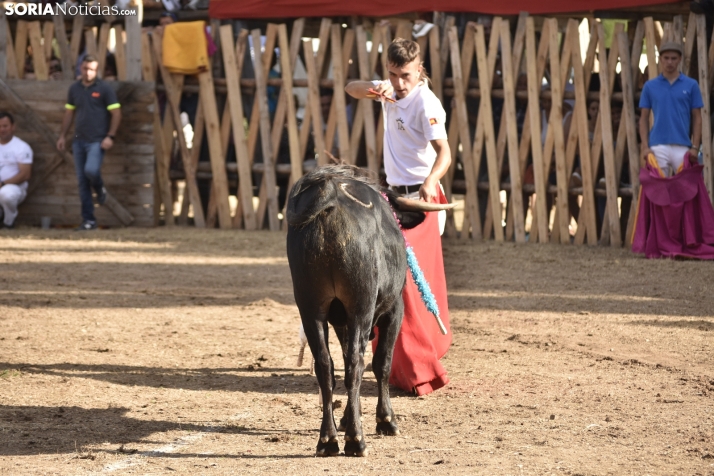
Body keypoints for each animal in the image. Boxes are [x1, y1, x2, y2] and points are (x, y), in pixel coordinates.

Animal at [284, 165, 450, 458]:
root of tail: (331, 194)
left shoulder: (340, 321)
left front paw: (350, 417)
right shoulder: (394, 310)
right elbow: (382, 362)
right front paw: (385, 420)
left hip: (310, 308)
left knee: (326, 366)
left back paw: (328, 440)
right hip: (361, 306)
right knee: (355, 364)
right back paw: (355, 440)